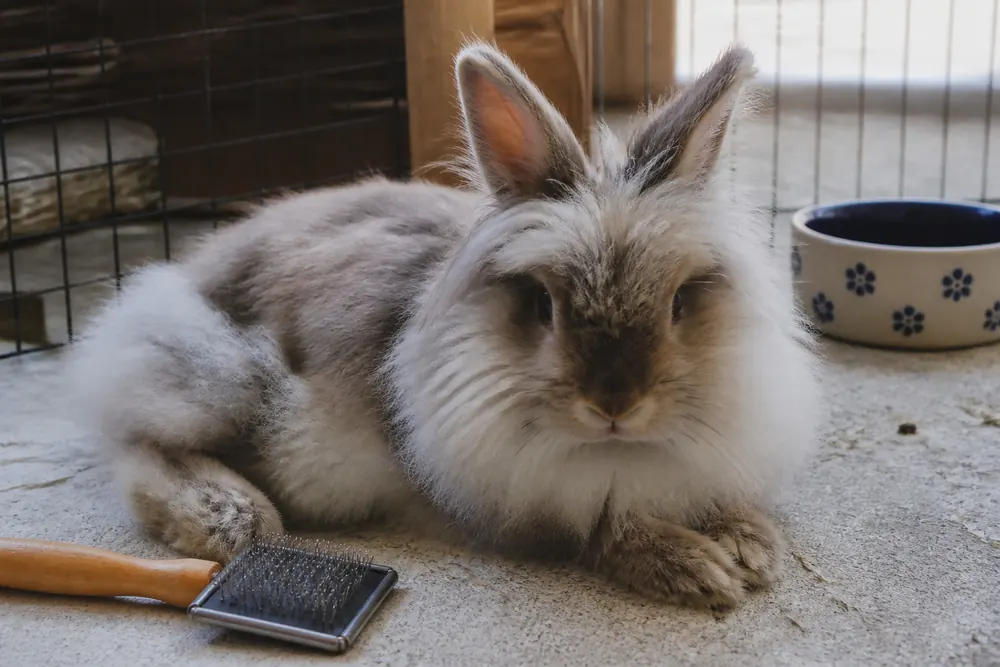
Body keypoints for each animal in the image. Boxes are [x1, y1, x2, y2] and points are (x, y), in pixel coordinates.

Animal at [65, 41, 822, 610]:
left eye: (679, 303)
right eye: (542, 305)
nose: (615, 404)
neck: (616, 452)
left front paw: (752, 544)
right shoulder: (524, 508)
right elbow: (603, 531)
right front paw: (699, 567)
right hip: (225, 379)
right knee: (140, 447)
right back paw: (233, 518)